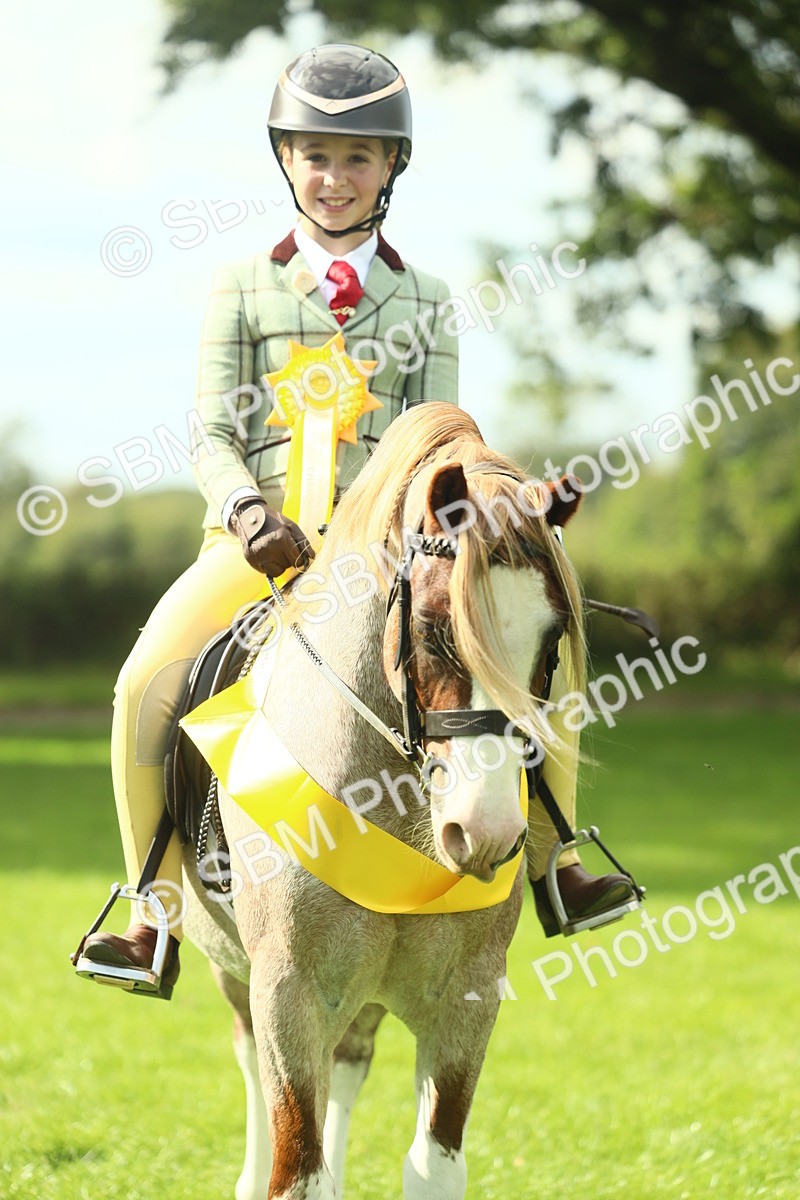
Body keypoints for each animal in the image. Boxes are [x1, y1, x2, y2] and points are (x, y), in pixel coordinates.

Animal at [178, 401, 586, 1200]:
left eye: (551, 642)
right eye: (432, 628)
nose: (485, 834)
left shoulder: (467, 1001)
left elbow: (432, 1166)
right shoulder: (290, 995)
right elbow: (296, 1170)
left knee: (349, 1061)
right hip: (240, 974)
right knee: (250, 1056)